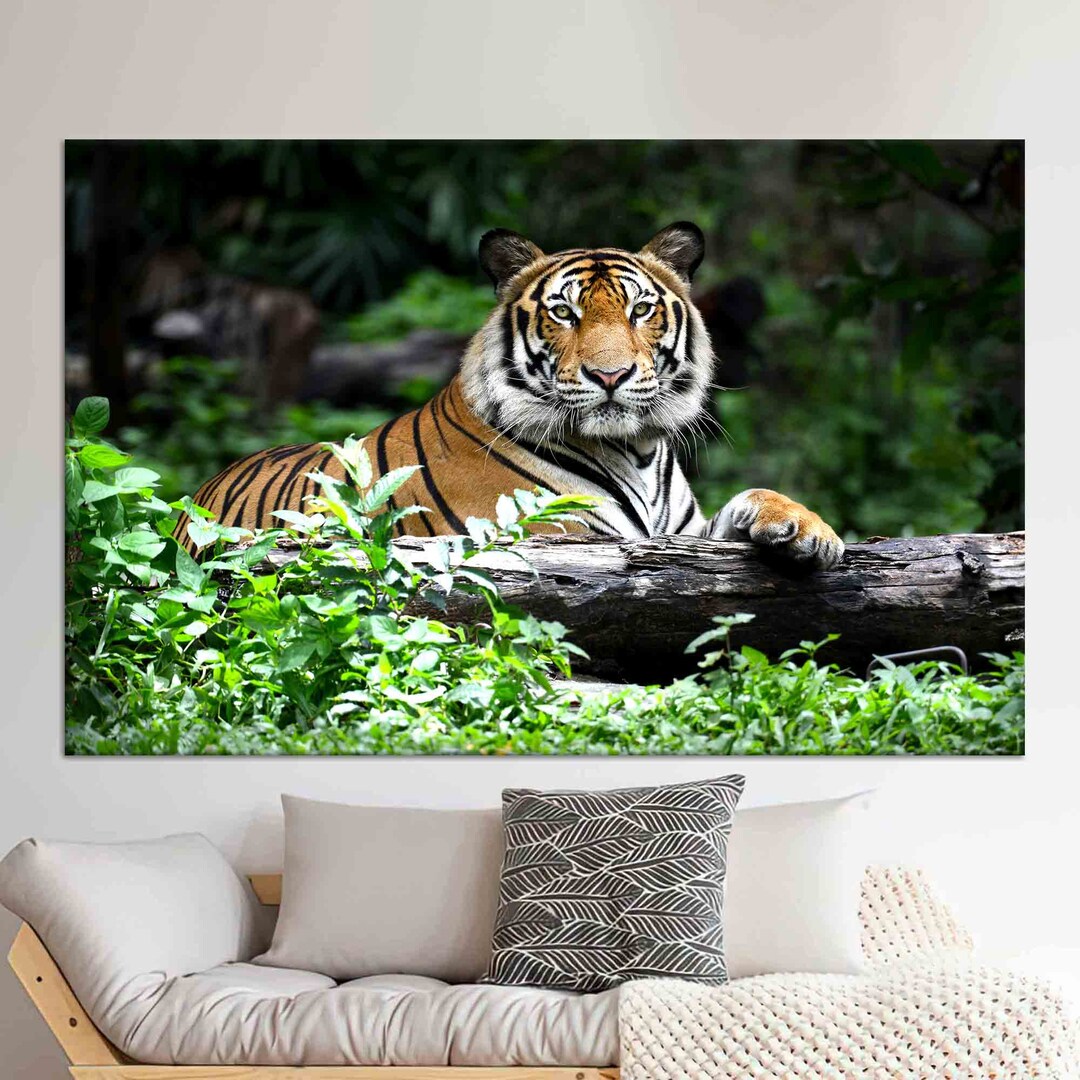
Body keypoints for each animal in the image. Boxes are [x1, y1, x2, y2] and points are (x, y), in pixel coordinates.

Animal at [178, 222, 843, 568]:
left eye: (640, 310)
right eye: (564, 313)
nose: (610, 376)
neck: (636, 450)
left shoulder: (684, 535)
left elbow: (750, 498)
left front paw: (808, 530)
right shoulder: (558, 537)